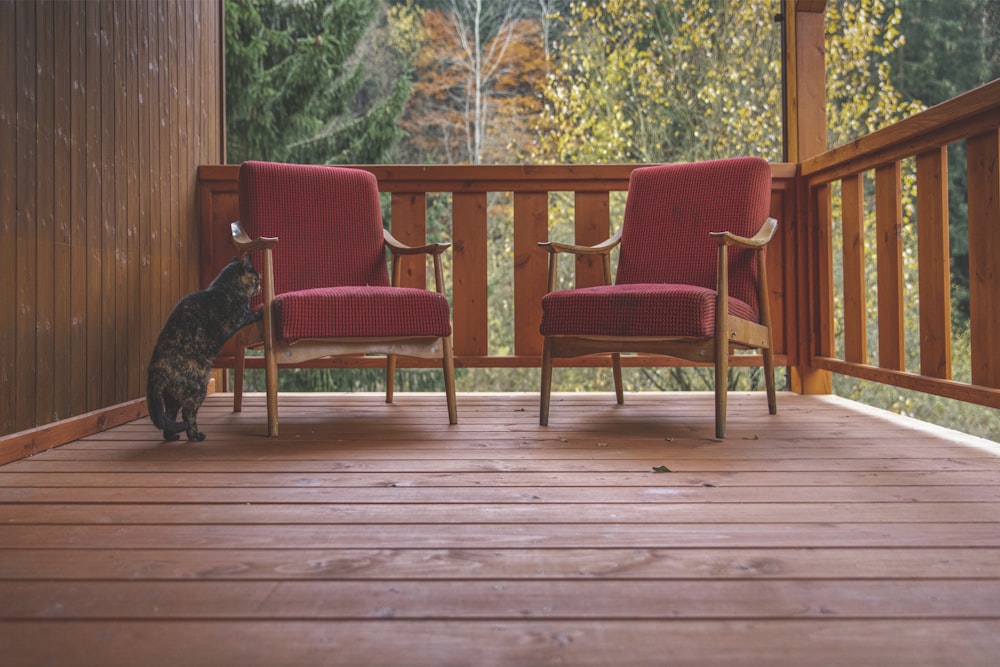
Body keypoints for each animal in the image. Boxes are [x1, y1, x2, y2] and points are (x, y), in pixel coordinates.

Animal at [146, 256, 262, 444]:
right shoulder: (240, 317)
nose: (261, 284)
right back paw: (195, 436)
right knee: (188, 414)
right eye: (256, 277)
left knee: (169, 418)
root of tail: (156, 369)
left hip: (172, 398)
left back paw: (173, 436)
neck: (224, 289)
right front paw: (264, 309)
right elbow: (254, 313)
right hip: (199, 386)